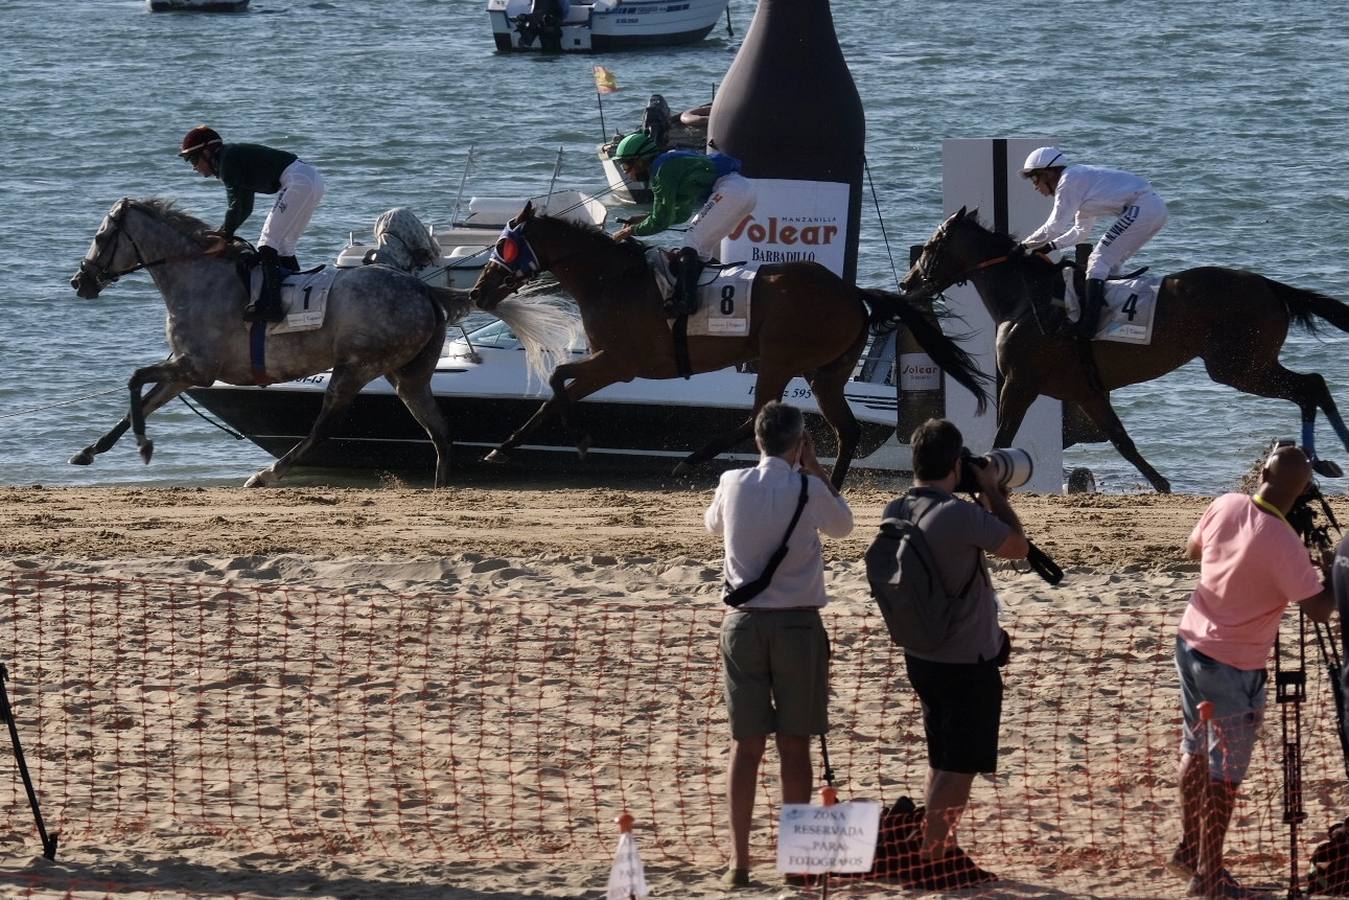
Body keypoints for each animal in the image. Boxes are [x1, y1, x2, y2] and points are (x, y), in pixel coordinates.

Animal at [69, 197, 574, 485]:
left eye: (101, 235)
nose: (80, 281)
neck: (198, 275)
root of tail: (426, 290)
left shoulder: (199, 368)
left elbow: (135, 381)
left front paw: (142, 446)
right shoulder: (185, 369)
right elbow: (143, 398)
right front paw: (89, 450)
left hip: (357, 368)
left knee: (323, 426)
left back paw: (267, 473)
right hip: (408, 375)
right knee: (440, 431)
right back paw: (438, 487)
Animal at [469, 201, 987, 488]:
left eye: (503, 246)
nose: (476, 291)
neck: (610, 278)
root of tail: (850, 292)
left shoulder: (618, 362)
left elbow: (557, 381)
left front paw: (576, 441)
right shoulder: (608, 362)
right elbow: (552, 396)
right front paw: (503, 448)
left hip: (779, 358)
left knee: (760, 417)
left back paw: (690, 461)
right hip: (825, 372)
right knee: (847, 430)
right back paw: (831, 489)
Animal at [901, 206, 1349, 493]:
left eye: (930, 246)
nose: (907, 284)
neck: (1025, 300)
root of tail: (1268, 285)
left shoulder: (1020, 382)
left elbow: (1003, 435)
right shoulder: (1085, 390)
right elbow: (1121, 439)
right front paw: (1161, 483)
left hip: (1239, 366)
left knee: (1310, 384)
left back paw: (1322, 459)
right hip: (1245, 364)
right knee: (1312, 386)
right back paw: (1324, 460)